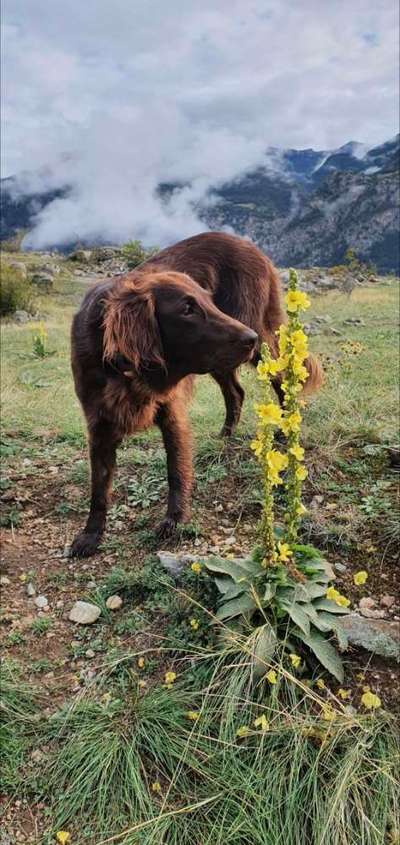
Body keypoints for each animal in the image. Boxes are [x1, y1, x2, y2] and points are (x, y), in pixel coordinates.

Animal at [71, 234, 322, 556]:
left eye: (208, 301)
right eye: (187, 309)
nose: (250, 338)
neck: (125, 369)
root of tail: (250, 246)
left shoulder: (172, 413)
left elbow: (176, 472)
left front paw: (174, 520)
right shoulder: (99, 424)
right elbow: (99, 488)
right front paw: (91, 534)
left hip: (258, 346)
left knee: (282, 382)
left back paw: (284, 430)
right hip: (222, 359)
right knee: (236, 392)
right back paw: (225, 435)